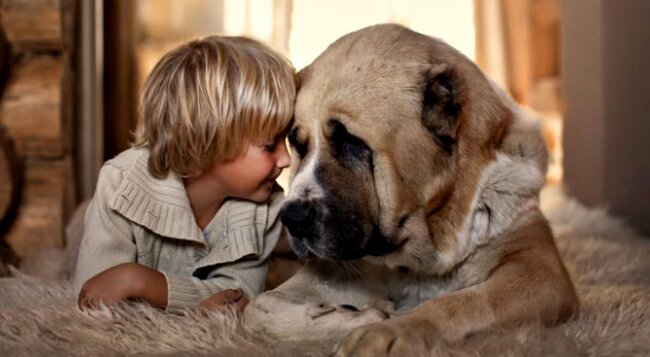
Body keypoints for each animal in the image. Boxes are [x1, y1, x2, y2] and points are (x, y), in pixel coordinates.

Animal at [244, 23, 576, 354]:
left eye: (351, 142)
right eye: (299, 145)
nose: (292, 218)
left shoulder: (539, 272)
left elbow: (463, 303)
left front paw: (390, 330)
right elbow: (258, 309)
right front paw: (360, 317)